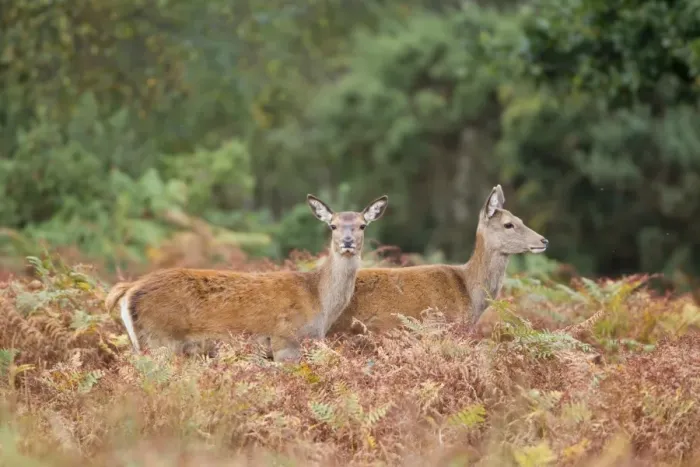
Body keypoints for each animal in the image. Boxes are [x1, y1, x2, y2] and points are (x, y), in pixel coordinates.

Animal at [104, 194, 389, 362]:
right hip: (159, 340)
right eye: (333, 225)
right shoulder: (285, 340)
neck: (319, 303)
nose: (347, 242)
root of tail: (130, 288)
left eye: (362, 225)